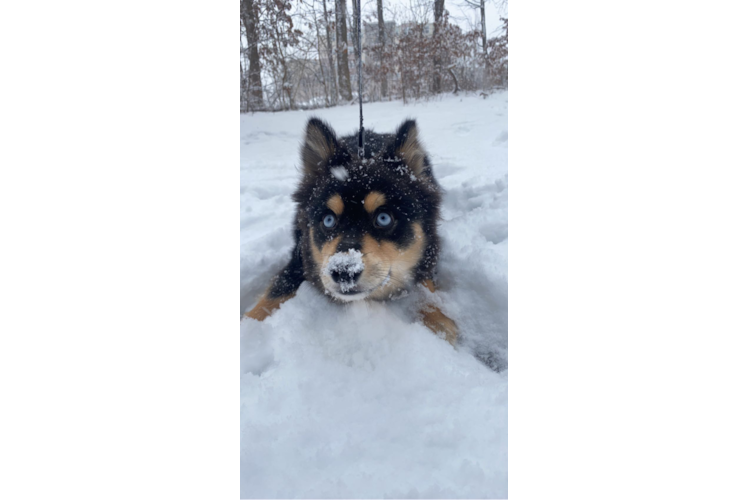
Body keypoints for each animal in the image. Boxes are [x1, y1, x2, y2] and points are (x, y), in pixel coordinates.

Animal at [245, 118, 456, 344]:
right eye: (328, 220)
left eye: (384, 218)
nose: (343, 272)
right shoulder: (300, 256)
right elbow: (276, 291)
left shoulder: (430, 246)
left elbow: (426, 282)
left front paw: (437, 319)